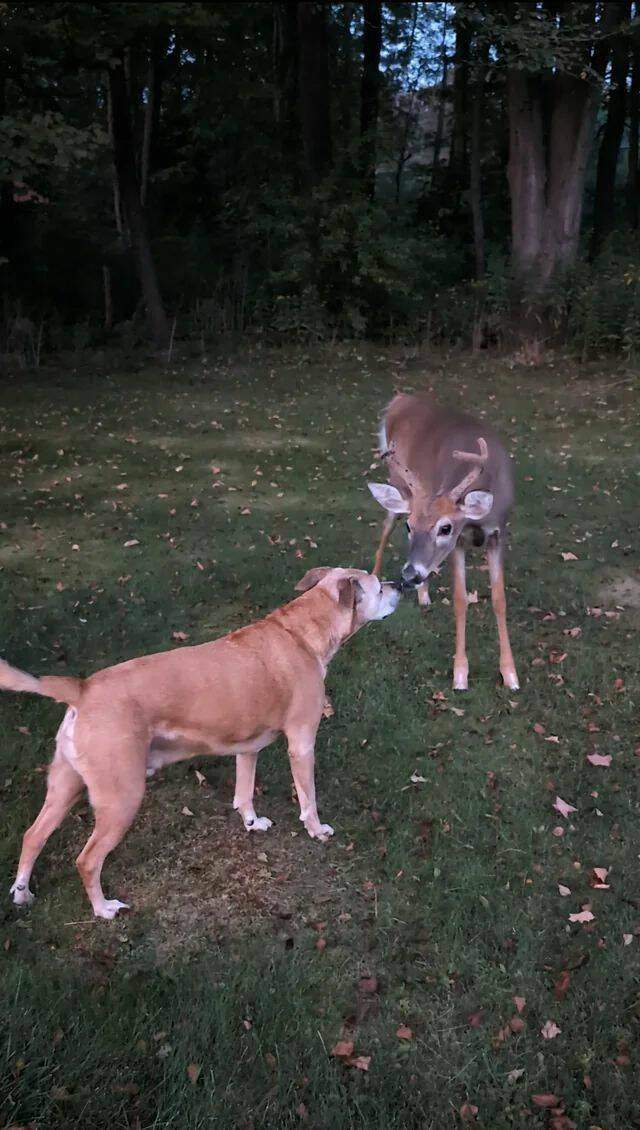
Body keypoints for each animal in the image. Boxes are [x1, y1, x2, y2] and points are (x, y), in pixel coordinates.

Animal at [2, 569, 398, 922]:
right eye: (378, 587)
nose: (401, 585)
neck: (299, 633)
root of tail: (81, 689)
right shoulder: (302, 742)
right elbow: (308, 799)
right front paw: (317, 830)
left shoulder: (247, 748)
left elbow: (244, 793)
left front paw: (252, 822)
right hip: (121, 799)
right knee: (87, 860)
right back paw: (103, 909)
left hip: (64, 786)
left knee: (33, 836)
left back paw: (22, 894)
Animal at [366, 393, 522, 691]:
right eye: (410, 526)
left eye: (445, 528)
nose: (409, 574)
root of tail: (400, 399)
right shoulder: (459, 544)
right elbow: (460, 599)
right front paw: (460, 674)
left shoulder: (498, 533)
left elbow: (499, 599)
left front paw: (510, 674)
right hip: (397, 481)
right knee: (385, 526)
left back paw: (423, 593)